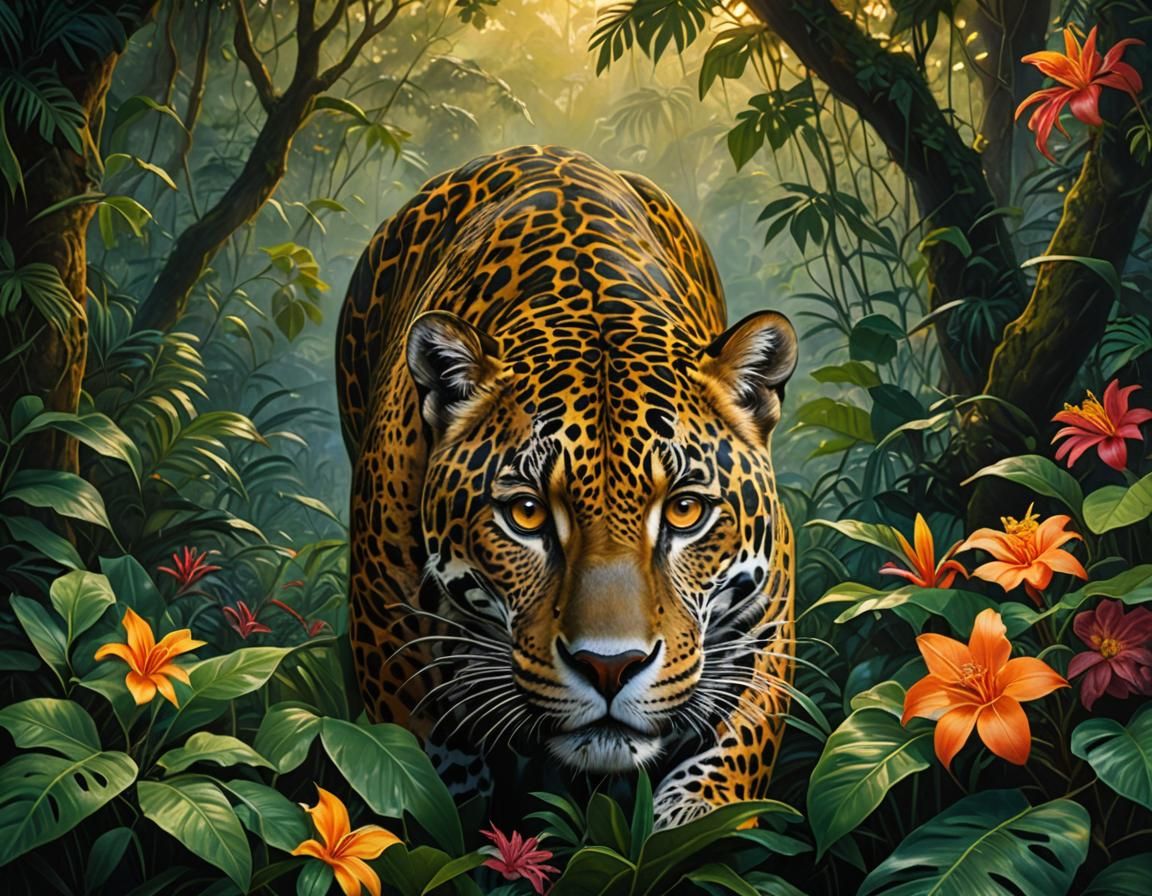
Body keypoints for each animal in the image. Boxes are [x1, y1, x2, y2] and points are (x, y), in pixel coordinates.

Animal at [336, 145, 798, 828]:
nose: (610, 667)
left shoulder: (762, 631)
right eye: (526, 513)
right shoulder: (397, 675)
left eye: (686, 510)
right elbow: (438, 810)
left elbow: (709, 799)